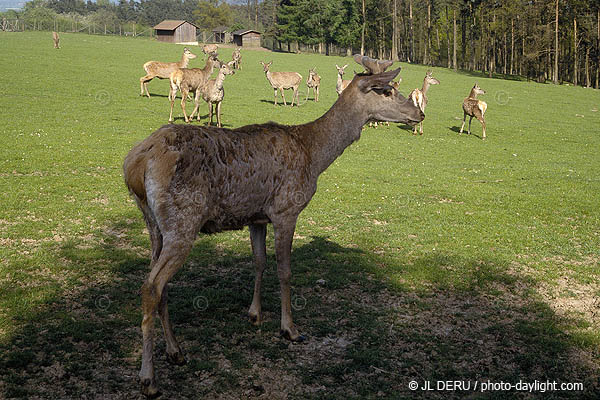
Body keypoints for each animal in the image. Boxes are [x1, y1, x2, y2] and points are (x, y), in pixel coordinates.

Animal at [122, 65, 424, 396]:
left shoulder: (256, 218)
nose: (419, 113)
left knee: (158, 284)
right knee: (151, 286)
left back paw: (175, 351)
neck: (314, 156)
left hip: (154, 225)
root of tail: (135, 163)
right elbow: (285, 271)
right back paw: (148, 378)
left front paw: (254, 314)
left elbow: (259, 262)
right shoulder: (286, 210)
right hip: (182, 221)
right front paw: (290, 328)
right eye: (387, 90)